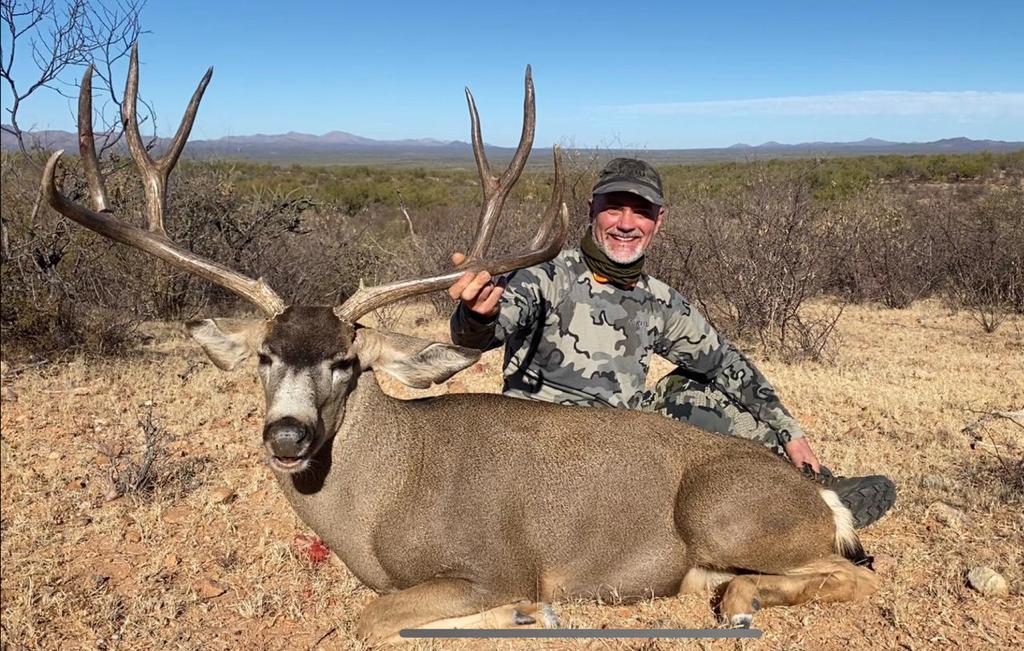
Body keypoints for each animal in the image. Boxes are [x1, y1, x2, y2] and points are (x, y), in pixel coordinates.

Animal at [46, 47, 880, 646]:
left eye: (346, 362)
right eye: (263, 356)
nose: (286, 434)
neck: (383, 500)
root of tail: (821, 495)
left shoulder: (497, 562)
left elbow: (379, 616)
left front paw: (518, 615)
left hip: (721, 509)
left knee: (856, 574)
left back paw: (742, 596)